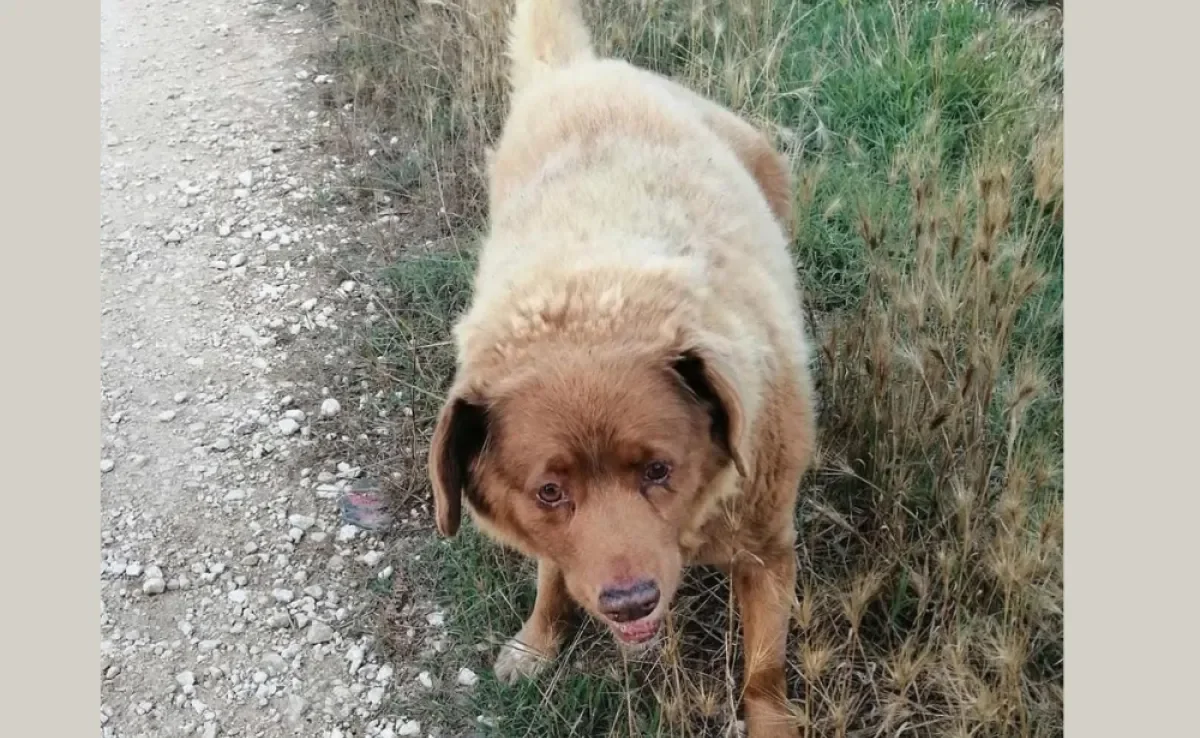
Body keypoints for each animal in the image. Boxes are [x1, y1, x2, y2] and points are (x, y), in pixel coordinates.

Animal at [429, 2, 816, 734]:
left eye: (660, 470)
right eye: (550, 492)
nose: (631, 602)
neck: (594, 300)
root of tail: (581, 71)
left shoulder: (767, 548)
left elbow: (764, 669)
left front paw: (772, 721)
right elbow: (553, 573)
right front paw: (539, 639)